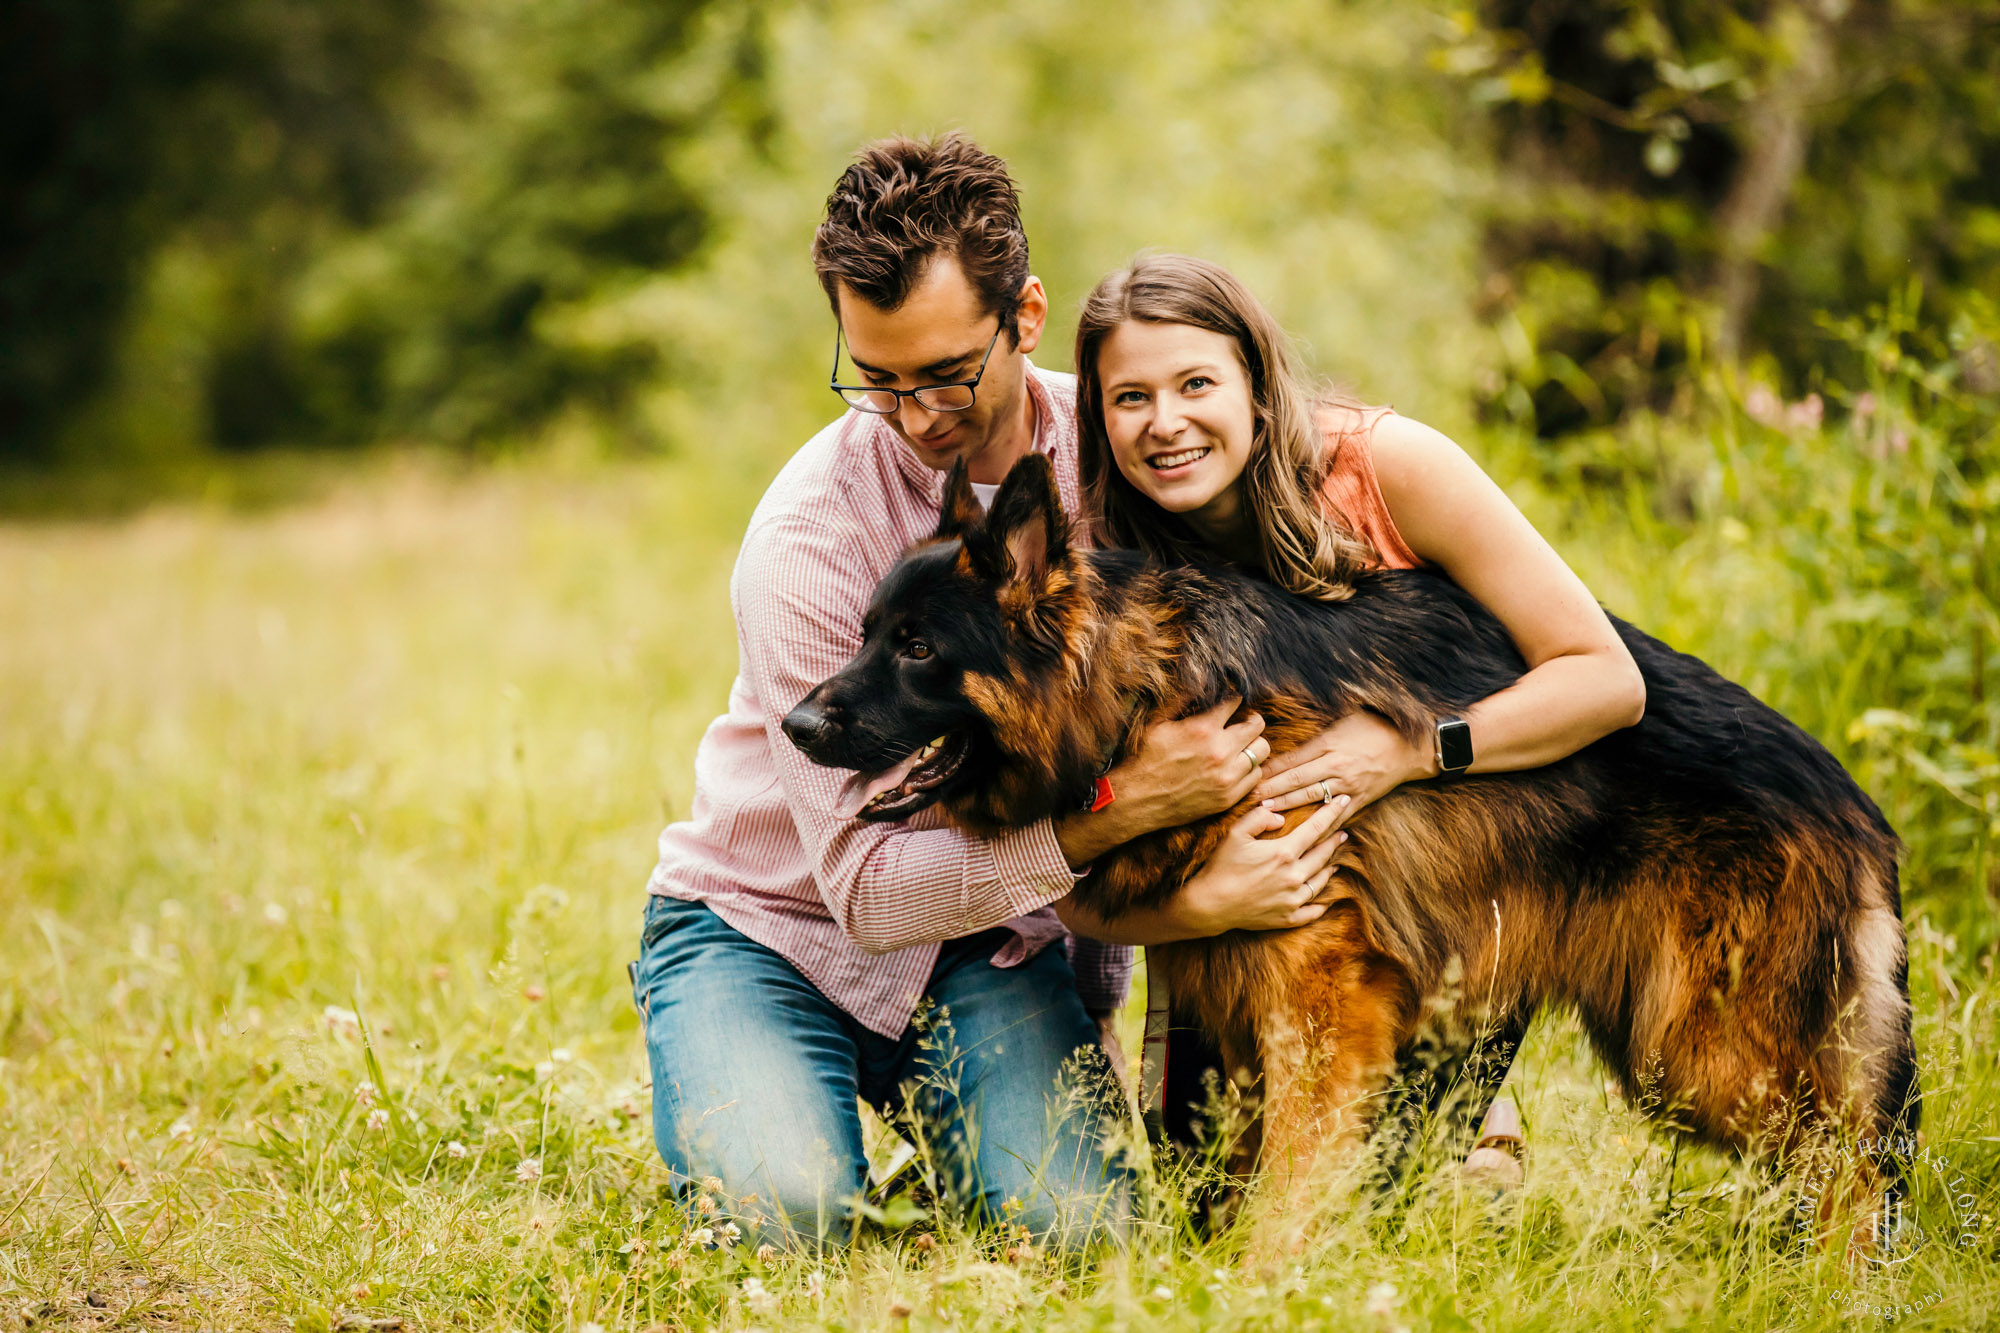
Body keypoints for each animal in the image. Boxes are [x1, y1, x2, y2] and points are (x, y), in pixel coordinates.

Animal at [780, 454, 1920, 1232]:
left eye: (916, 647)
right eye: (866, 632)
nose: (793, 723)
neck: (1144, 690)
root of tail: (1852, 801)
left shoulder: (1323, 1001)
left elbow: (1291, 1177)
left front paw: (1263, 1282)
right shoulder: (1243, 985)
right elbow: (1249, 1164)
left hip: (1699, 1050)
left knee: (1852, 1167)